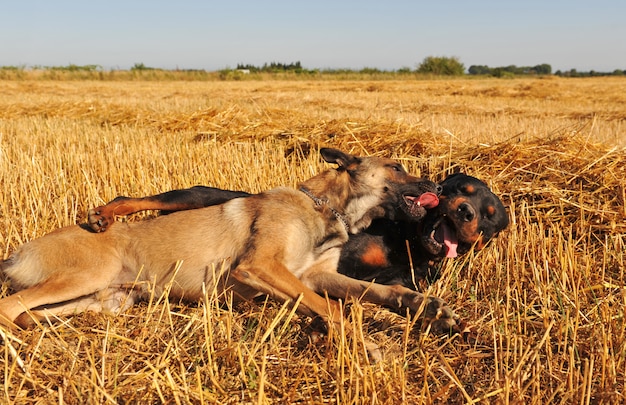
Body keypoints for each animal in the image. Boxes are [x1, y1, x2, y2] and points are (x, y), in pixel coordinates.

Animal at [1, 148, 458, 360]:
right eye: (397, 167)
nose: (437, 185)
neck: (322, 208)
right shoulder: (260, 267)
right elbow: (331, 307)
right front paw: (365, 345)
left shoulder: (315, 275)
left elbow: (371, 292)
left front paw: (427, 307)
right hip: (85, 277)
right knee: (10, 307)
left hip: (104, 299)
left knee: (29, 312)